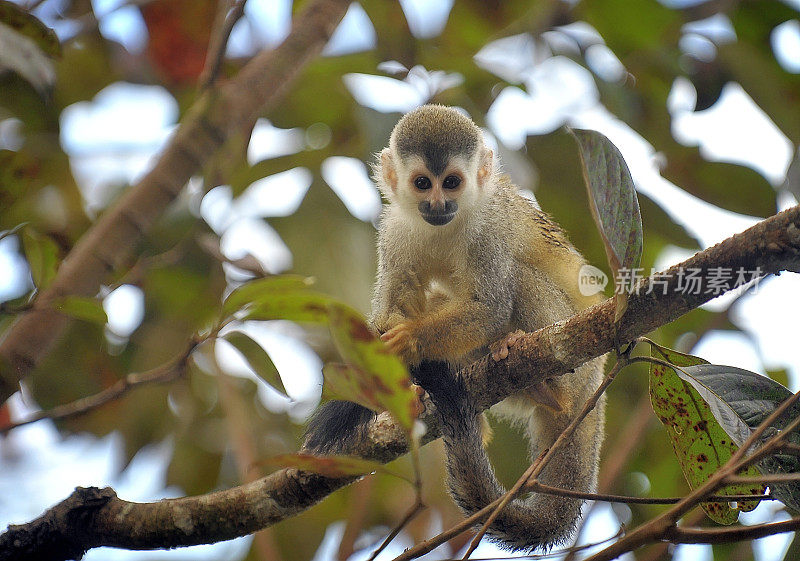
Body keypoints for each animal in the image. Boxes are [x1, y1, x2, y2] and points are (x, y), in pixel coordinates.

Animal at [306, 104, 608, 552]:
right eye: (422, 183)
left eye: (451, 182)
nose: (438, 203)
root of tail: (595, 388)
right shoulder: (394, 228)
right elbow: (393, 307)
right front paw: (403, 374)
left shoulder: (489, 230)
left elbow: (491, 307)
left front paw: (409, 340)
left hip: (580, 365)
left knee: (518, 279)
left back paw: (550, 387)